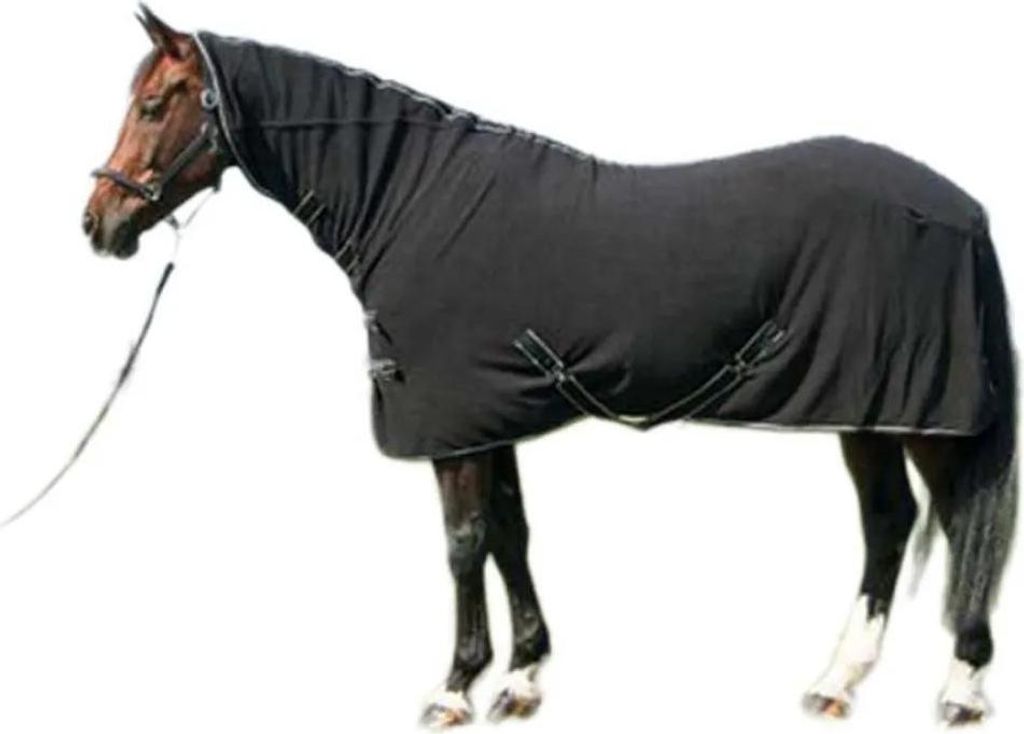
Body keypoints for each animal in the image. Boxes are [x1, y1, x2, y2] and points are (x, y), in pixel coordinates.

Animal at [83, 6, 1016, 727]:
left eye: (156, 103)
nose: (98, 223)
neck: (415, 202)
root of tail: (964, 209)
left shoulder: (453, 426)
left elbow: (464, 545)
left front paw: (455, 687)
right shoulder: (488, 413)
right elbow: (511, 533)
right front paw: (524, 677)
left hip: (921, 415)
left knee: (955, 520)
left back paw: (963, 689)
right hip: (872, 412)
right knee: (890, 522)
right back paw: (836, 682)